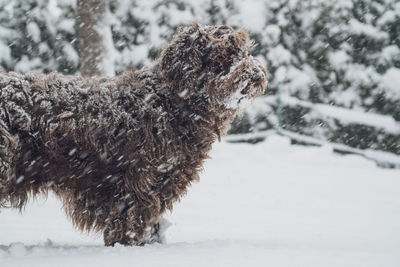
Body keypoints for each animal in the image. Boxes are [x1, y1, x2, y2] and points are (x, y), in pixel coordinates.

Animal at [0, 23, 268, 247]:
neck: (170, 102)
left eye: (244, 51)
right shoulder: (137, 179)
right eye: (223, 54)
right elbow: (132, 218)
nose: (255, 74)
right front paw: (129, 246)